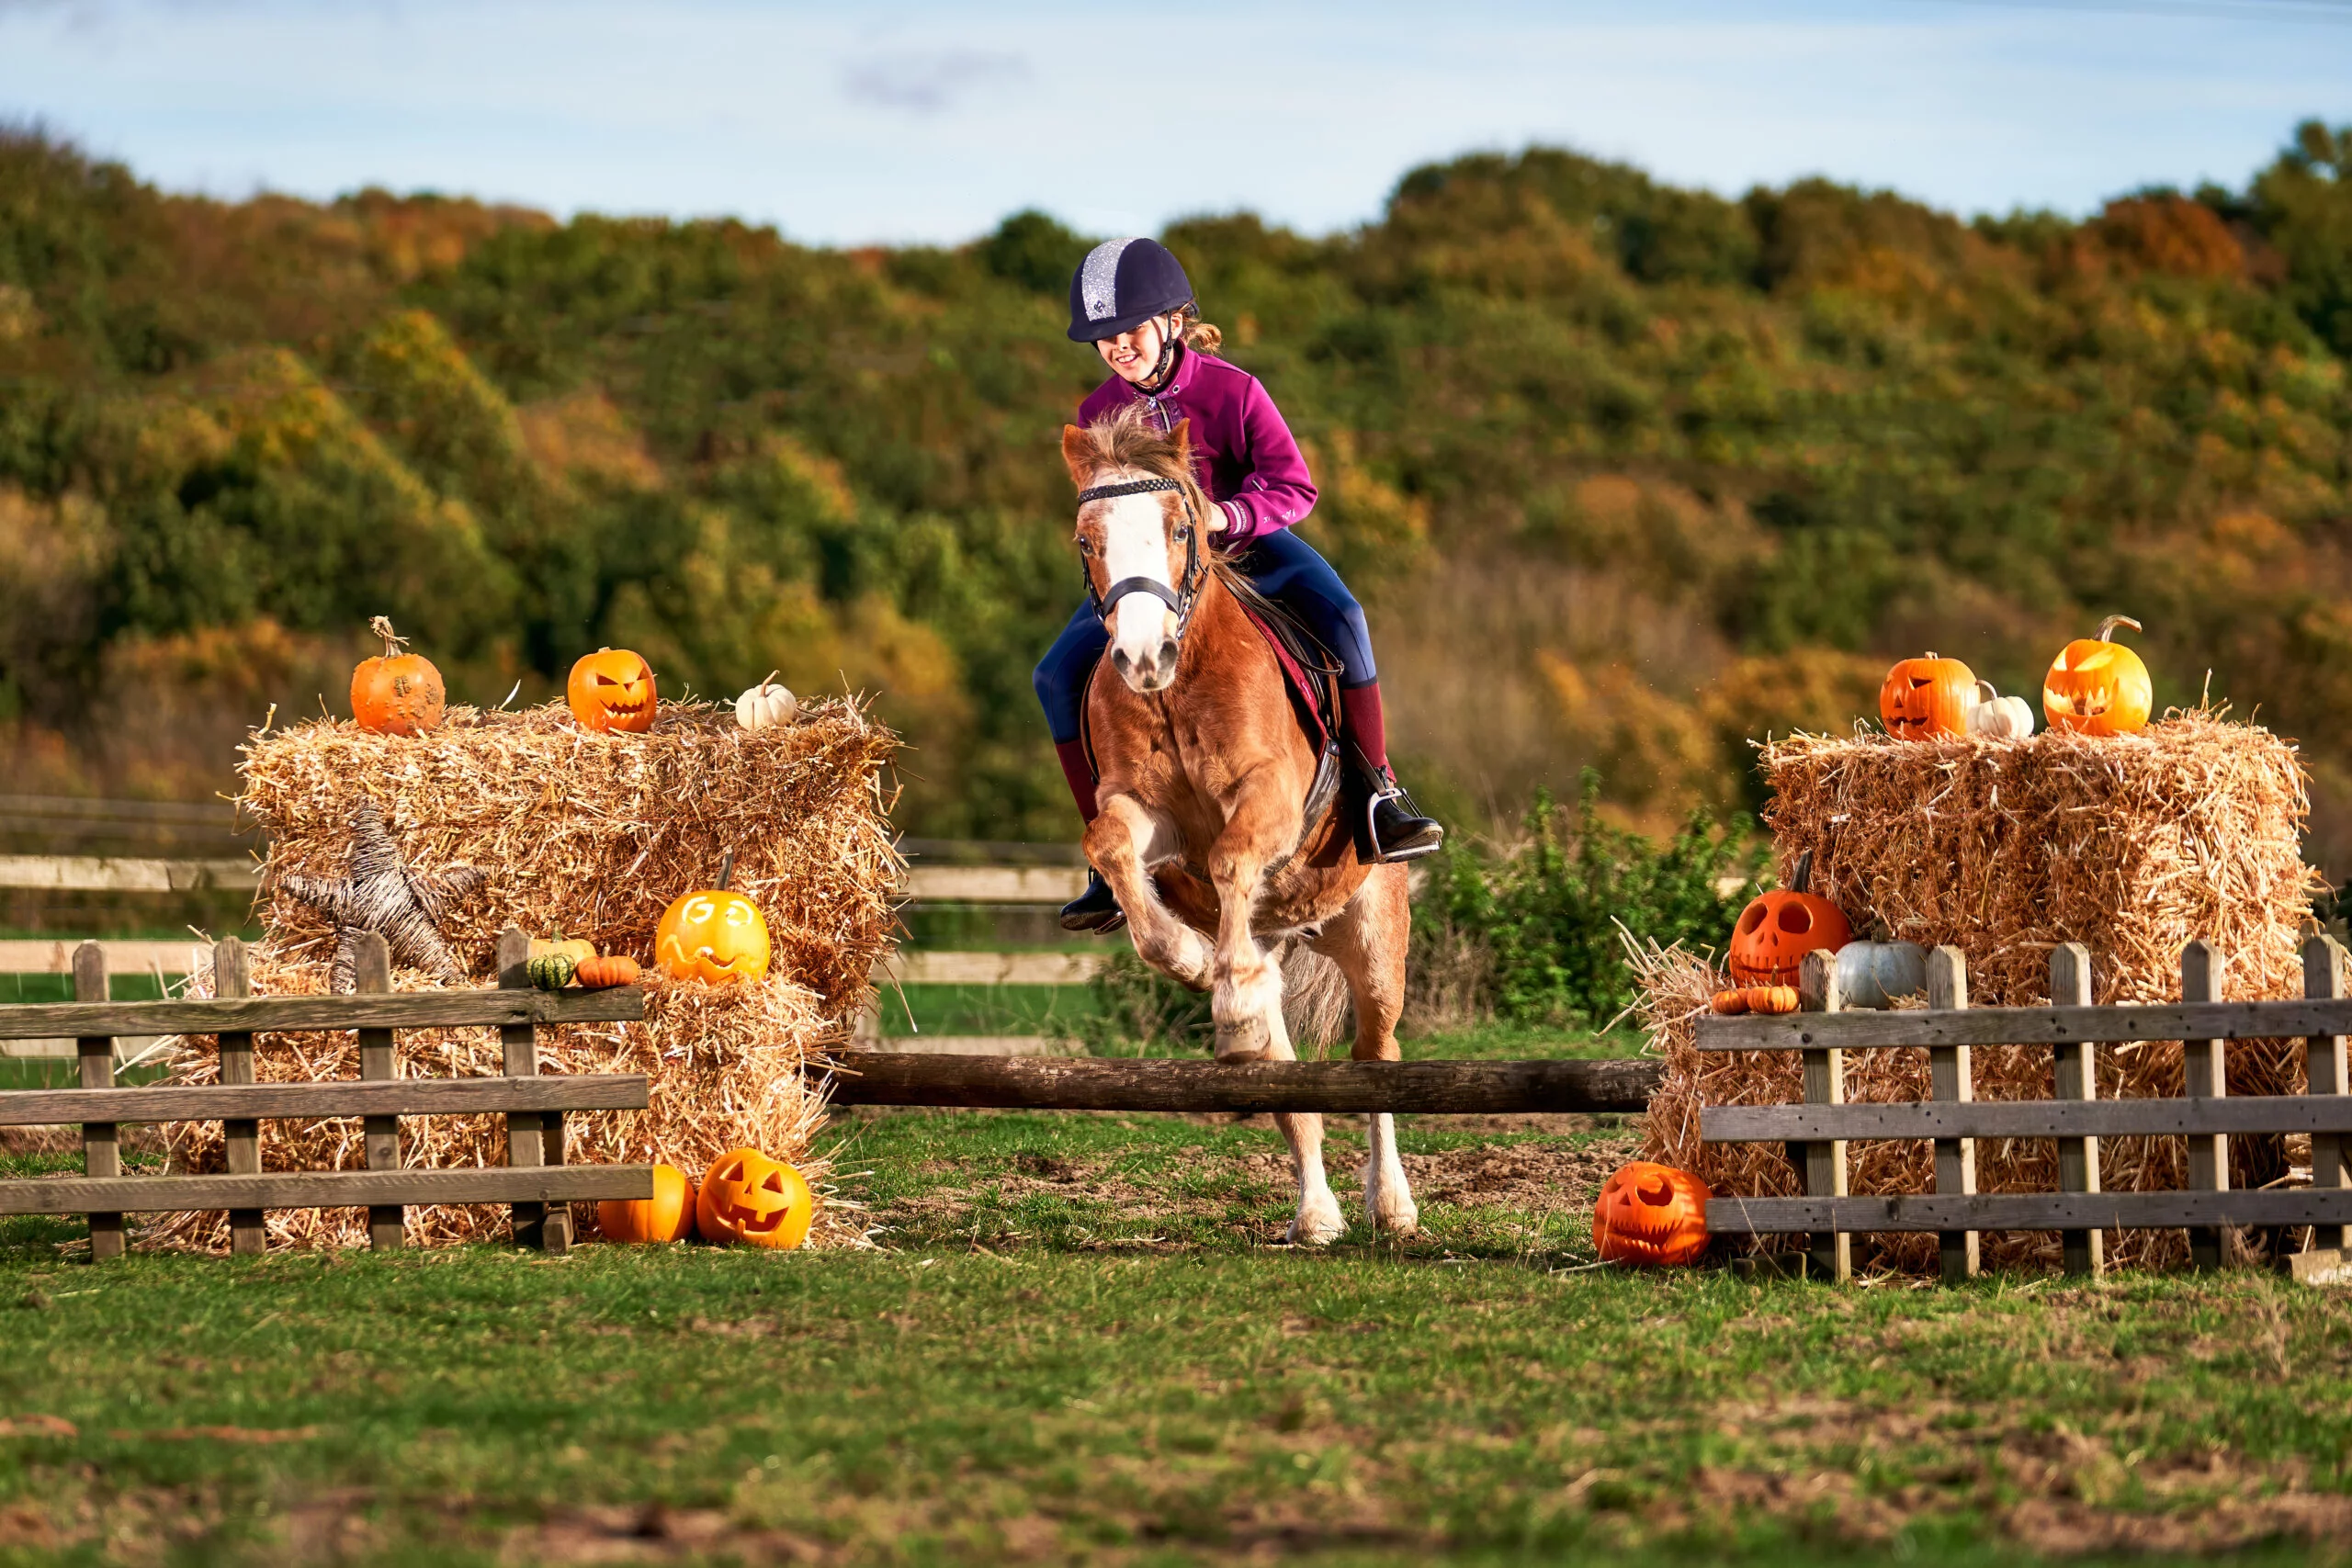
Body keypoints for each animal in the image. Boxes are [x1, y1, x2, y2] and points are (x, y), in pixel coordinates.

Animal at [1060, 410, 1418, 1245]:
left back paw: (1392, 1203)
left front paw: (1223, 990)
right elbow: (1112, 846)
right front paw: (1196, 962)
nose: (1141, 656)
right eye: (1088, 541)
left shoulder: (1271, 800)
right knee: (1292, 1088)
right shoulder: (1145, 815)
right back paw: (1315, 1210)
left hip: (1373, 935)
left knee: (1375, 1055)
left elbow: (1230, 856)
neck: (1178, 683)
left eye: (1180, 528)